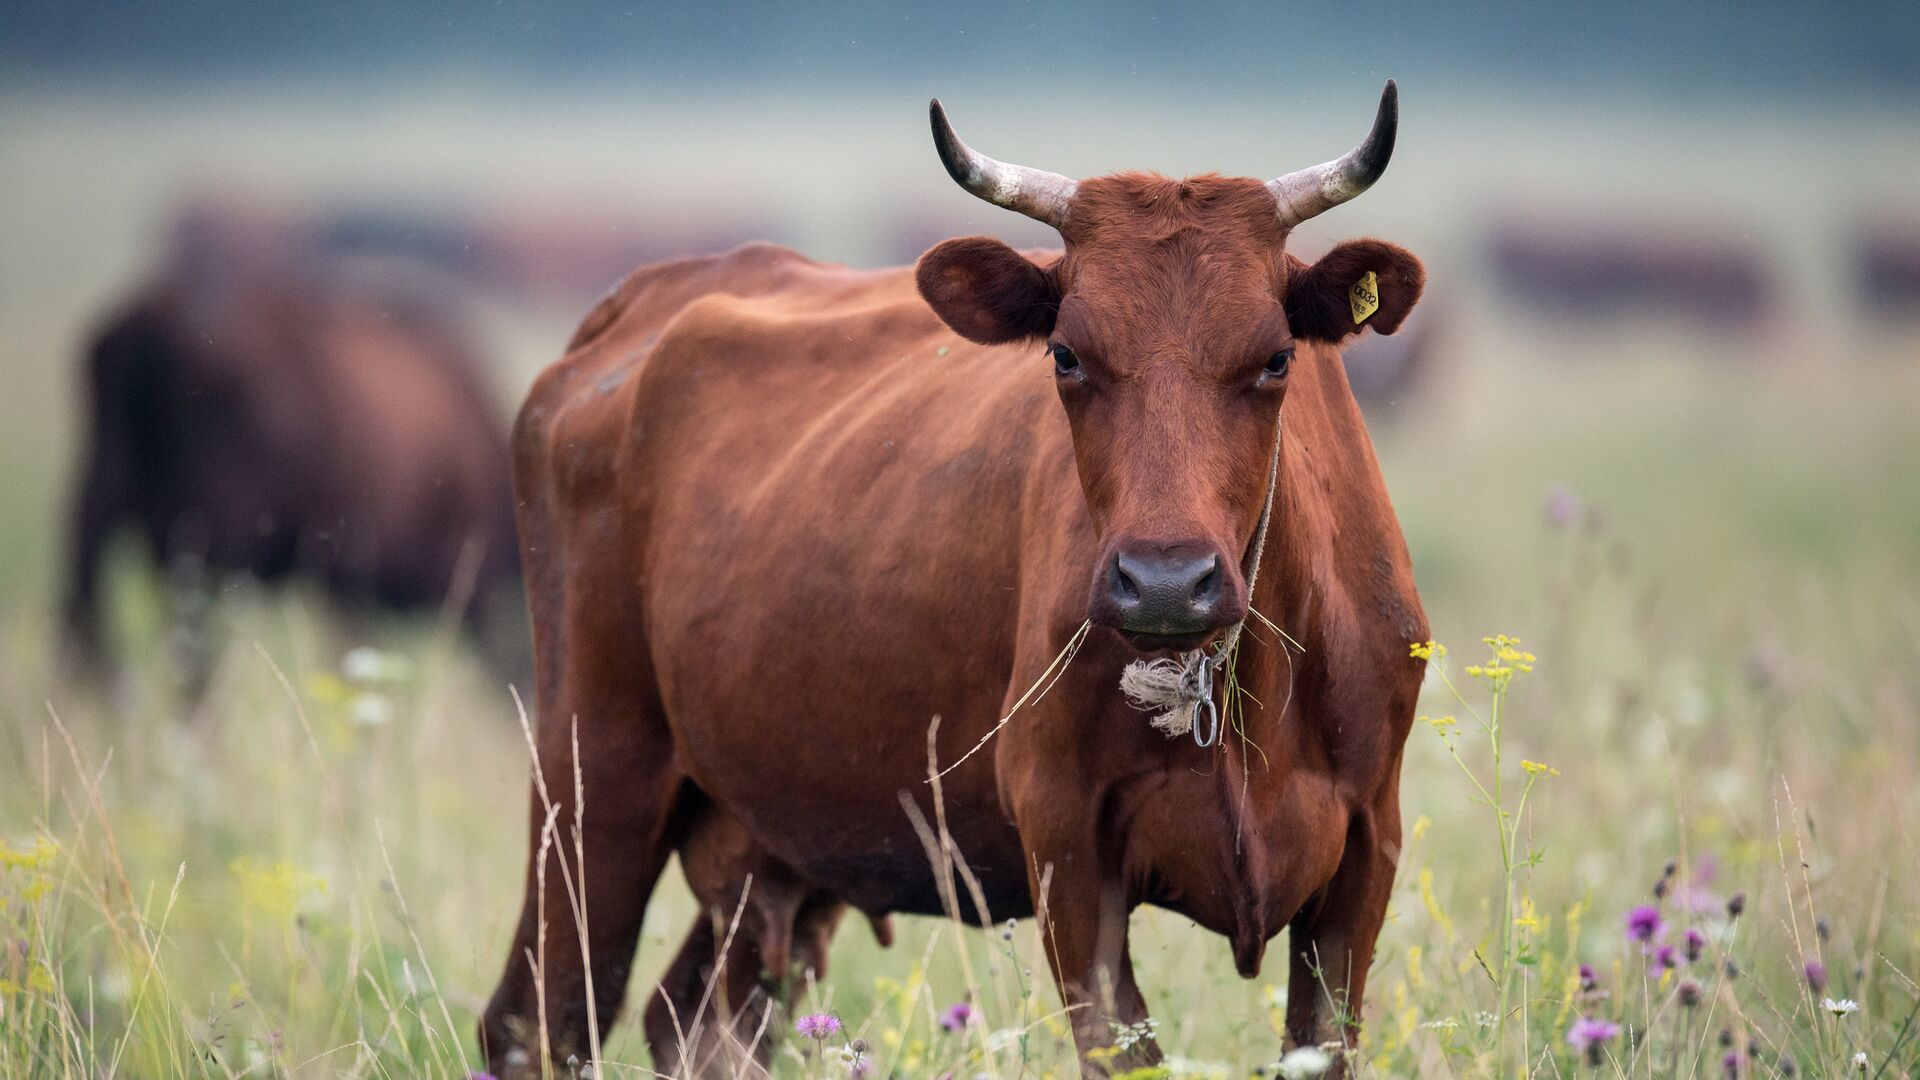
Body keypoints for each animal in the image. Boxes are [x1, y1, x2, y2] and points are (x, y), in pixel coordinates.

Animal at [487, 85, 1428, 1076]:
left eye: (1277, 357)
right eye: (1065, 355)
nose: (1167, 581)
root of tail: (643, 301)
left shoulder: (1368, 847)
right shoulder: (1068, 849)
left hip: (766, 838)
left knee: (695, 1021)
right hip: (593, 776)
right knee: (540, 1021)